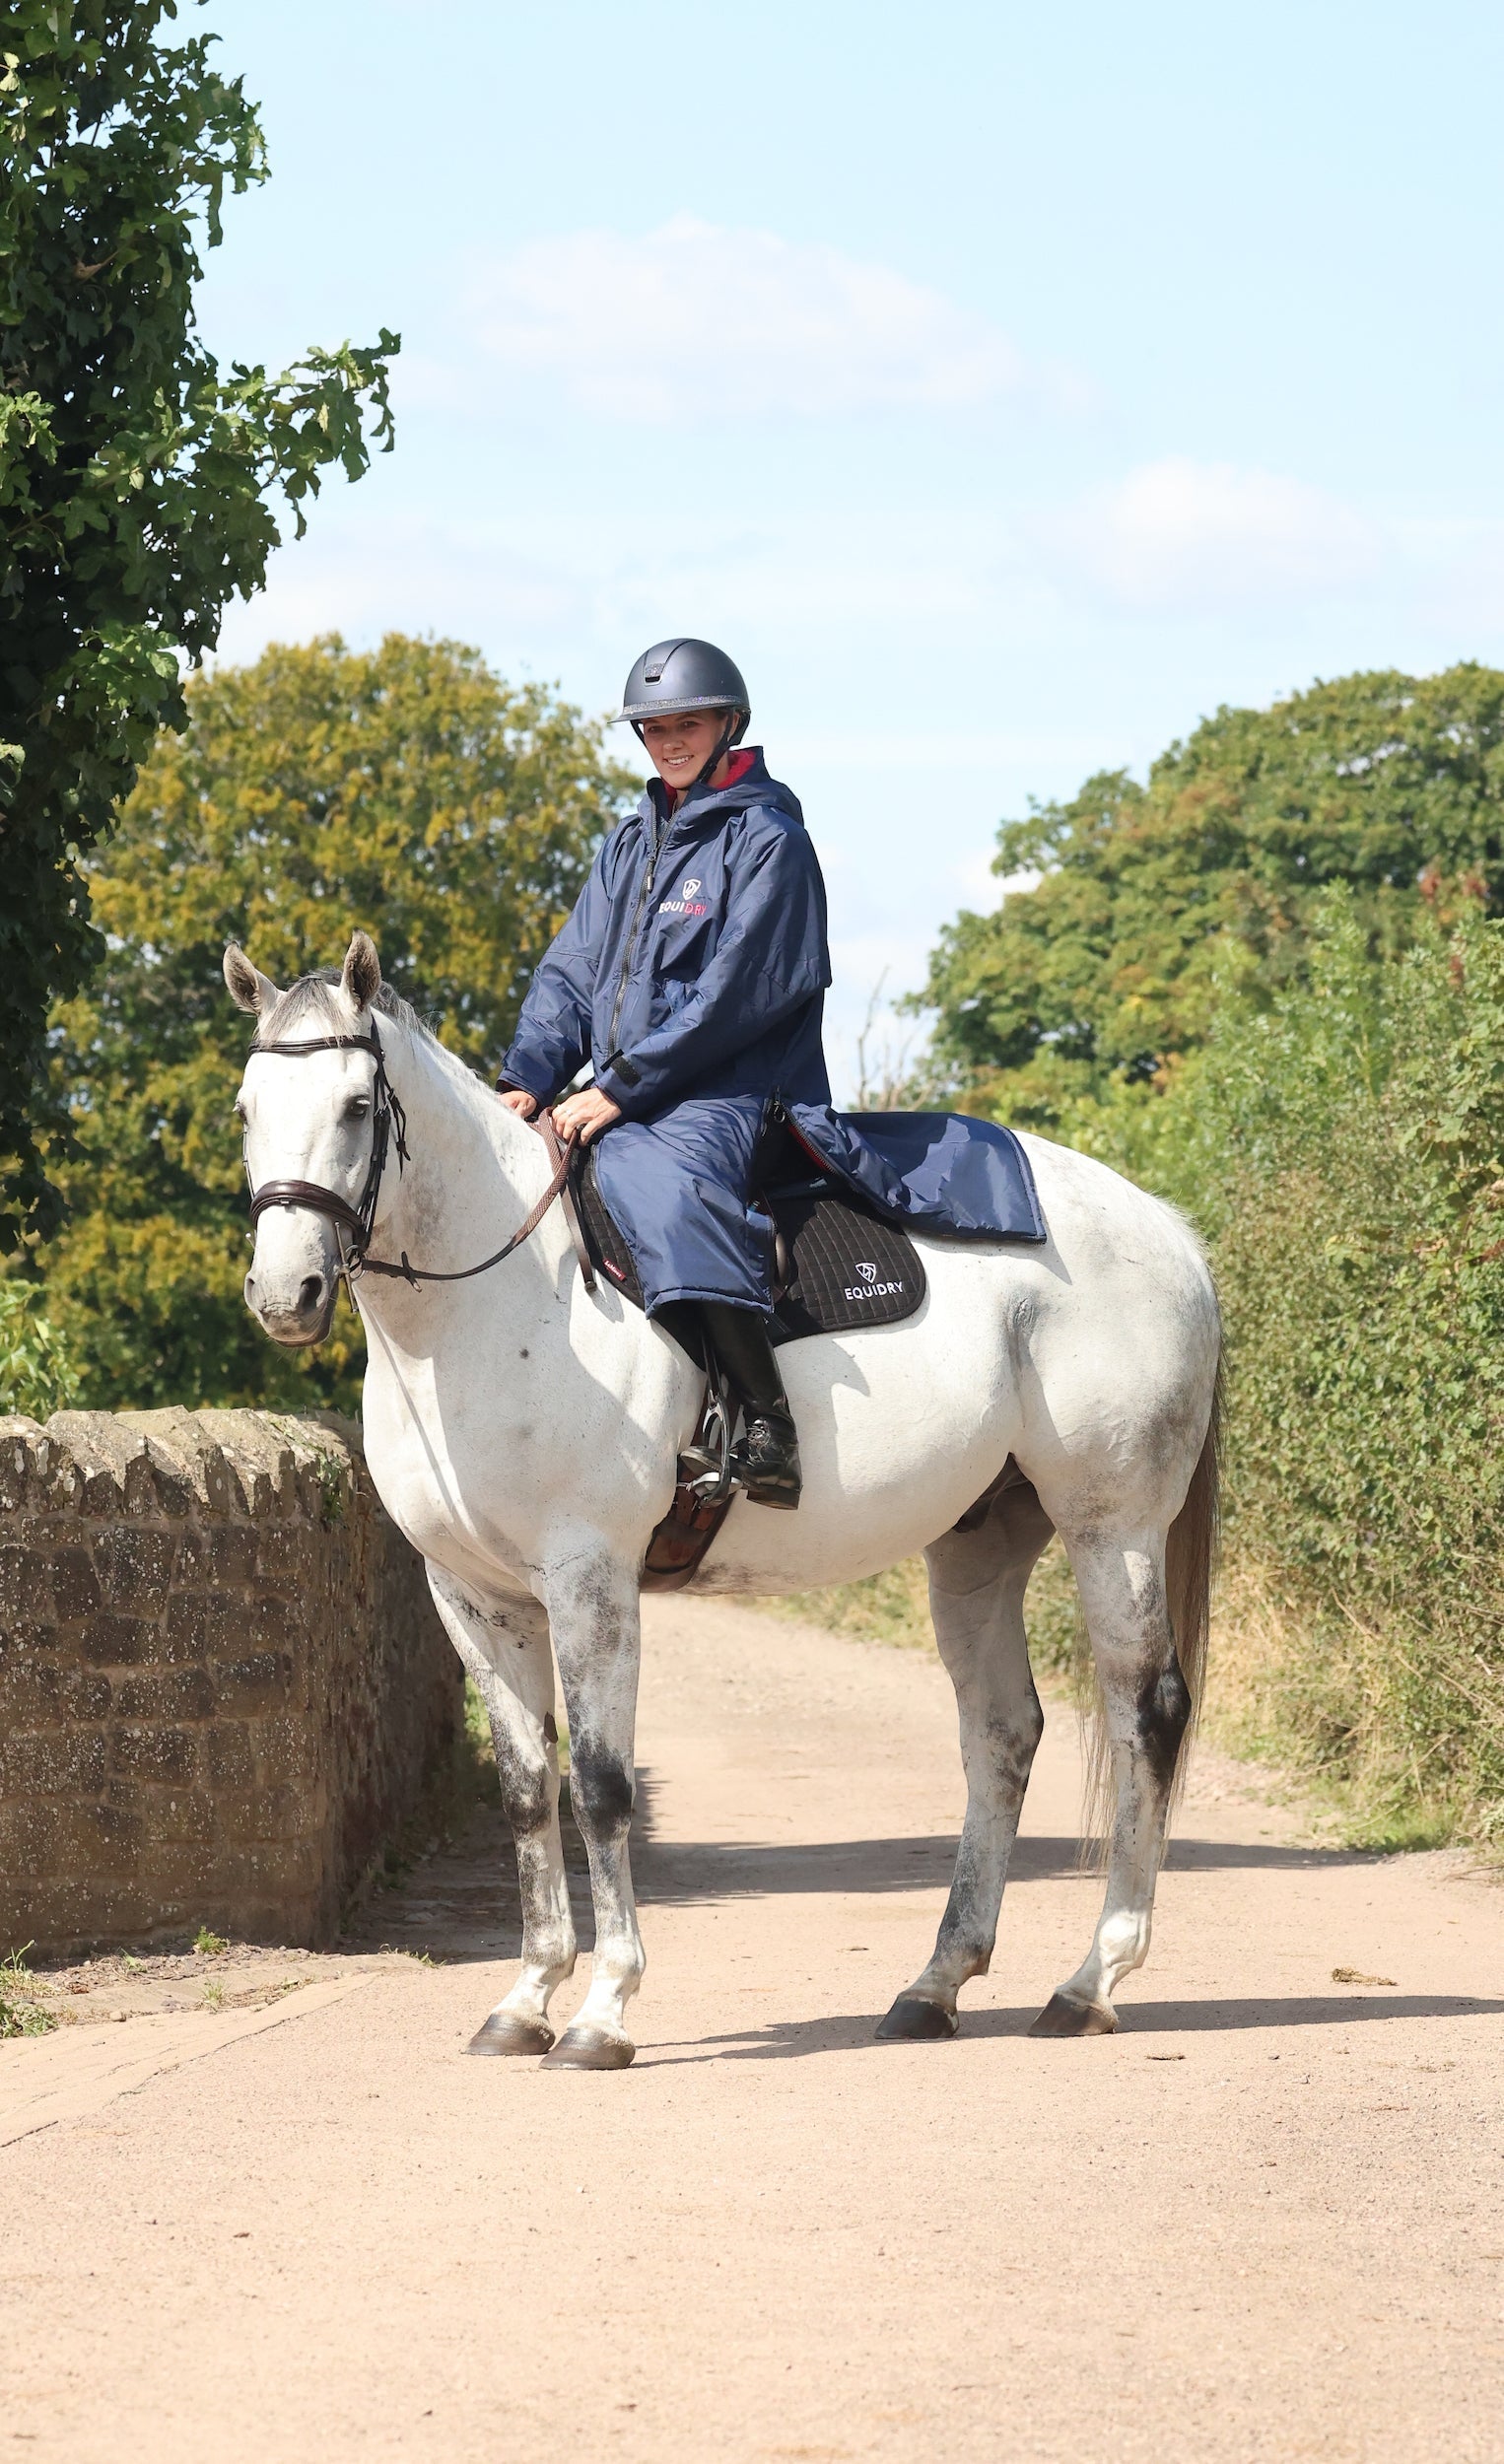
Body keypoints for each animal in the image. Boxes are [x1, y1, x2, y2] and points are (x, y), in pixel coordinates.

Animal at [226, 931, 1222, 2071]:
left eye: (357, 1106)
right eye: (246, 1108)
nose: (285, 1296)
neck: (499, 1302)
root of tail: (1164, 1228)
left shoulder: (590, 1579)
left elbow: (601, 1784)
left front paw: (603, 2010)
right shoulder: (472, 1598)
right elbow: (526, 1789)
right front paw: (524, 1999)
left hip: (1113, 1528)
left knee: (1146, 1714)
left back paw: (1091, 1980)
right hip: (979, 1544)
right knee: (1001, 1734)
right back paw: (932, 1985)